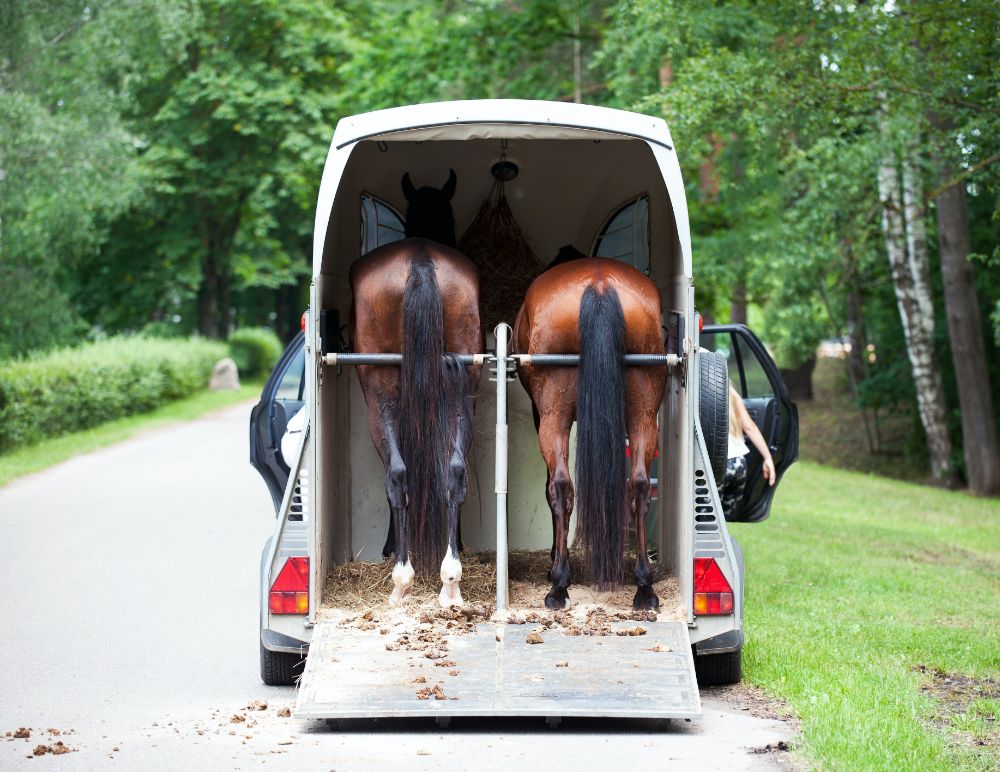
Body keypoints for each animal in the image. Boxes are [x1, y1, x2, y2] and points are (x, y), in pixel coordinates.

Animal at [350, 170, 482, 608]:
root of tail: (420, 261)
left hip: (380, 404)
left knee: (397, 475)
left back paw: (402, 579)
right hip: (461, 395)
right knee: (454, 473)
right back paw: (450, 580)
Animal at [512, 258, 668, 608]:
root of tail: (599, 283)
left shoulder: (540, 415)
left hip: (553, 414)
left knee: (559, 485)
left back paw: (558, 585)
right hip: (644, 413)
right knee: (639, 485)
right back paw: (644, 587)